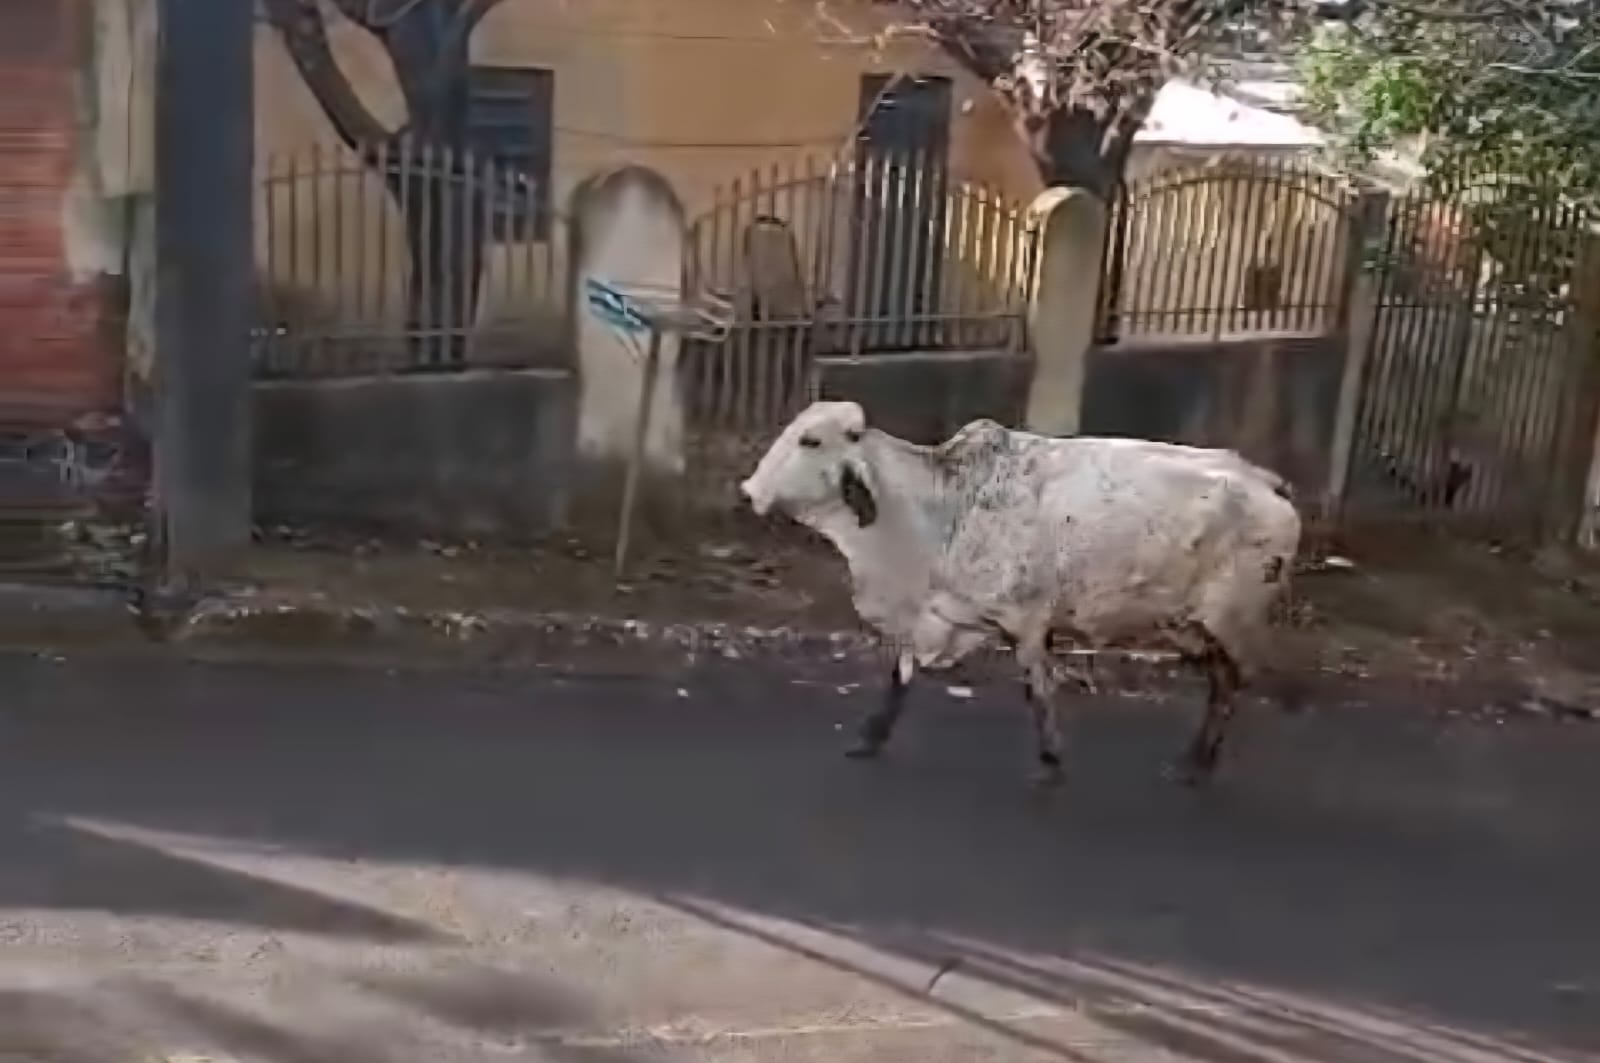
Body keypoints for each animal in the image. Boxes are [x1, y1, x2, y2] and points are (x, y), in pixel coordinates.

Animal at [739, 401, 1303, 786]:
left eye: (812, 441)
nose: (749, 491)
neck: (941, 507)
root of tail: (1267, 482)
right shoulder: (935, 615)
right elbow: (900, 677)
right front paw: (870, 737)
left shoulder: (1026, 621)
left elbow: (1038, 690)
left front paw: (1051, 760)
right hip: (1187, 625)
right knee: (1220, 681)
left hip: (1229, 619)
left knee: (1229, 683)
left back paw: (1198, 763)